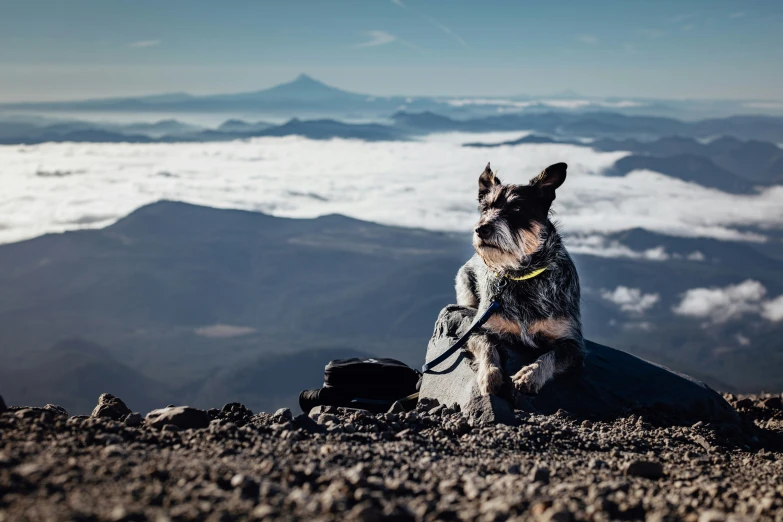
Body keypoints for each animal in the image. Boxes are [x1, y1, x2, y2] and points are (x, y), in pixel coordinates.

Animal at [456, 161, 584, 394]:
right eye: (485, 209)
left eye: (516, 209)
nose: (481, 229)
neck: (522, 276)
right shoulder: (478, 328)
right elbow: (486, 345)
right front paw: (489, 373)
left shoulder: (573, 343)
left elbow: (551, 356)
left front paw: (530, 374)